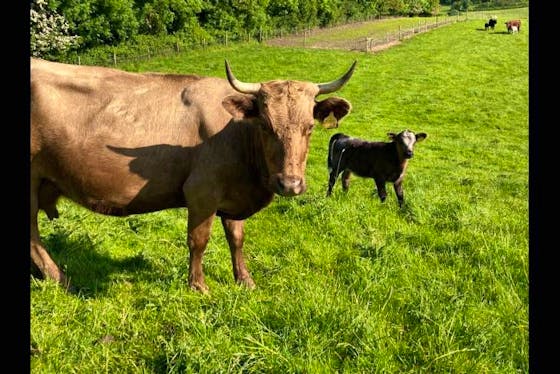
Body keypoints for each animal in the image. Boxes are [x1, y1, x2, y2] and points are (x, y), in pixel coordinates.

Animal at [30, 57, 356, 292]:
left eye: (309, 127)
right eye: (265, 125)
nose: (290, 184)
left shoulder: (233, 194)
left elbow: (236, 238)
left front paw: (245, 280)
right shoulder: (201, 192)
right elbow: (198, 240)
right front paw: (198, 286)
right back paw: (60, 279)